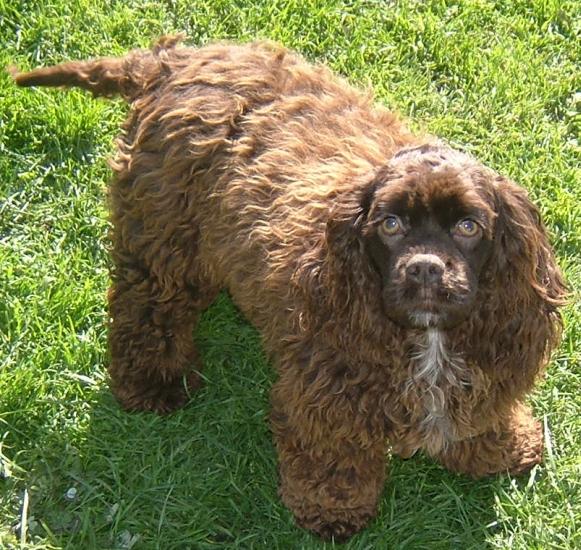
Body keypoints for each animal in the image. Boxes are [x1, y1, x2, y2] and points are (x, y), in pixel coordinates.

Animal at [13, 37, 564, 544]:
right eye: (390, 224)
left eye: (468, 227)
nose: (425, 269)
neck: (429, 340)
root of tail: (172, 61)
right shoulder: (325, 386)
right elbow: (333, 452)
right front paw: (332, 508)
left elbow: (481, 410)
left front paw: (500, 447)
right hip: (164, 239)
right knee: (146, 310)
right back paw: (153, 383)